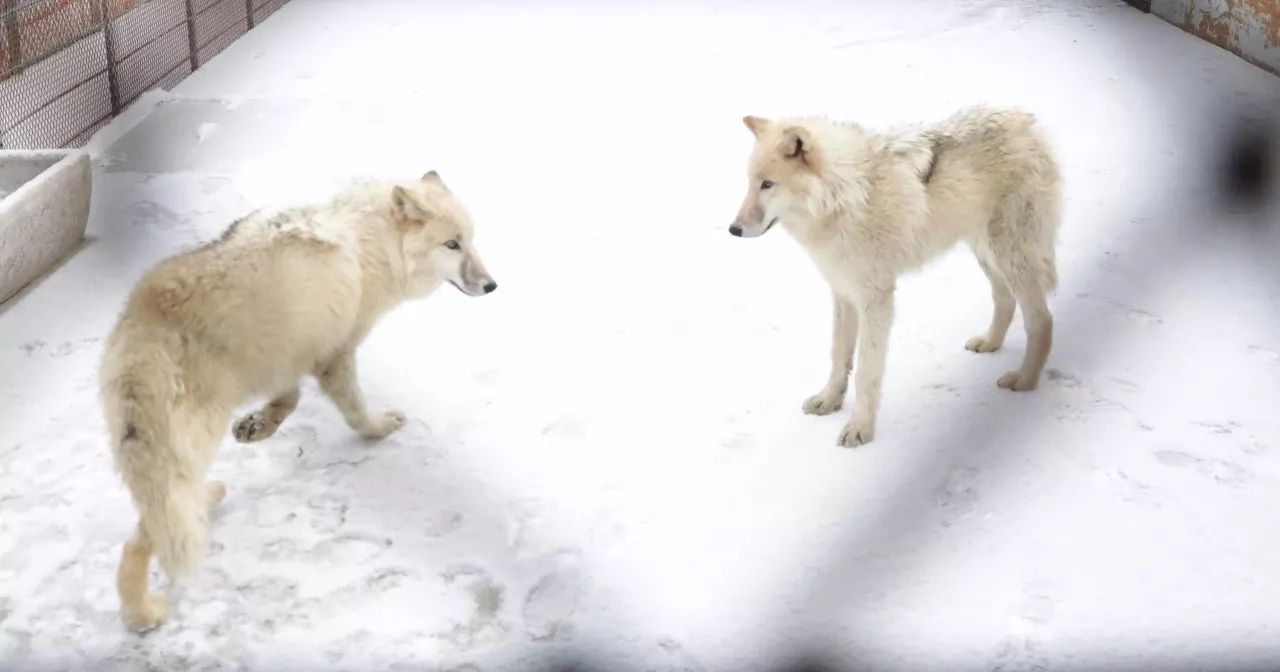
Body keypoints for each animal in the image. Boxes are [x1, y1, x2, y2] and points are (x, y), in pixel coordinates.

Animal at [97, 168, 496, 629]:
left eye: (470, 239)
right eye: (452, 244)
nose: (492, 285)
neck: (373, 241)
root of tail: (141, 347)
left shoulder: (290, 356)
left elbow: (287, 400)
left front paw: (257, 426)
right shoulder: (335, 354)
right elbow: (356, 414)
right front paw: (381, 429)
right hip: (191, 454)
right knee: (144, 538)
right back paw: (143, 614)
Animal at [732, 106, 1059, 445]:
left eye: (767, 184)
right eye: (750, 183)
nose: (733, 229)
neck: (845, 197)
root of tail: (1027, 122)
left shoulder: (875, 298)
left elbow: (866, 371)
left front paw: (859, 428)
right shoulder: (843, 292)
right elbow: (838, 353)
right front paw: (829, 400)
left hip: (1010, 256)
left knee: (1042, 320)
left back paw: (1025, 379)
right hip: (986, 252)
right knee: (1004, 299)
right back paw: (990, 343)